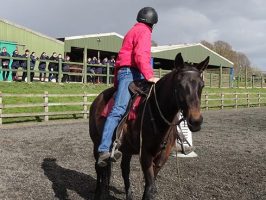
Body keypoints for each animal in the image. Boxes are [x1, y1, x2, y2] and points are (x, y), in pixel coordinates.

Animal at [89, 52, 210, 199]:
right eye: (180, 84)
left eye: (202, 85)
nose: (196, 121)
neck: (156, 114)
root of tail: (97, 100)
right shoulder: (145, 155)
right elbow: (150, 187)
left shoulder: (162, 157)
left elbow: (150, 186)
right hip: (96, 143)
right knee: (99, 167)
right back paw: (98, 191)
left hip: (127, 148)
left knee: (124, 169)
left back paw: (127, 194)